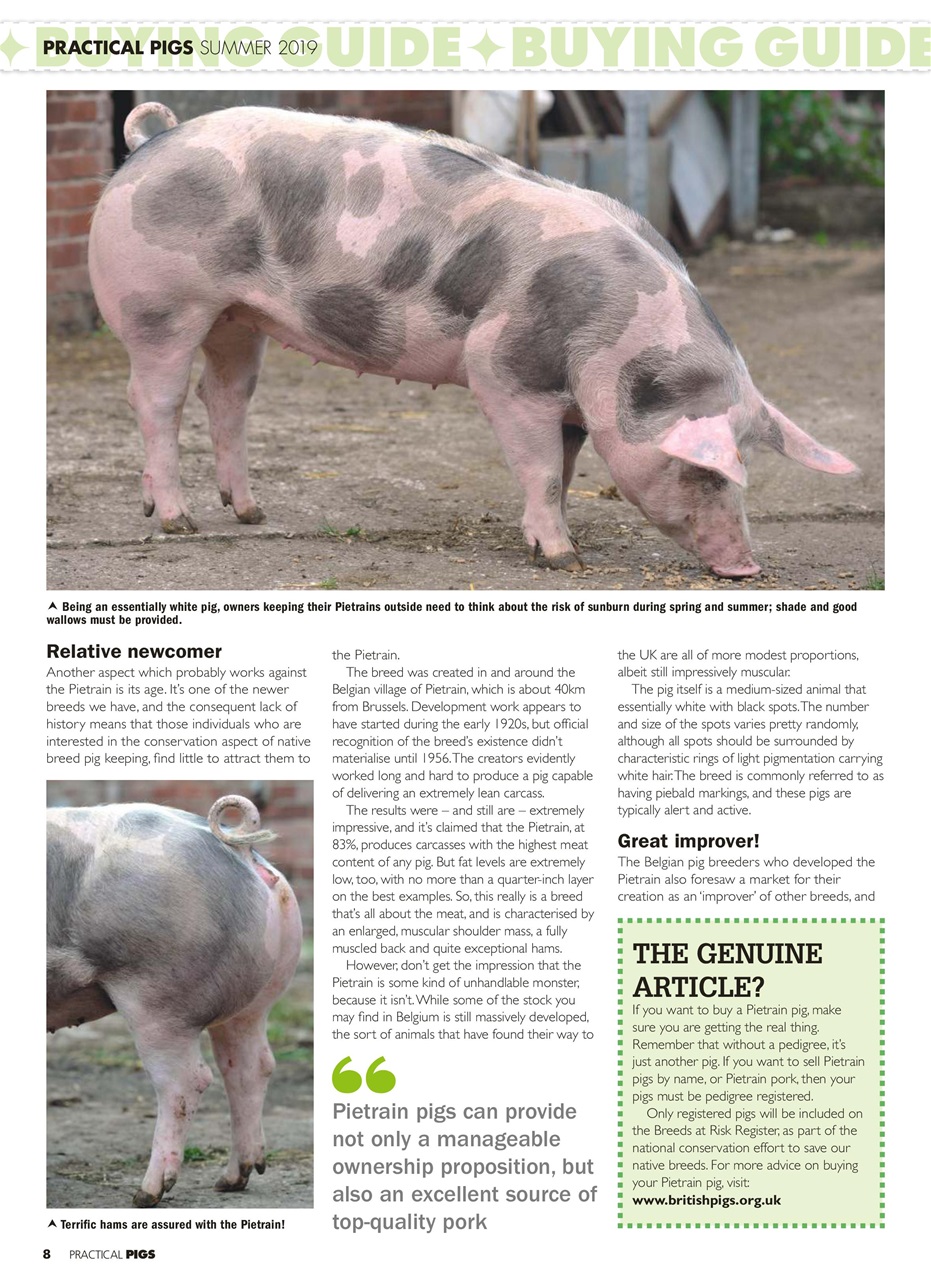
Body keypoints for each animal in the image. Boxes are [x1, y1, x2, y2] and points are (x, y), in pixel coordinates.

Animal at [47, 795, 304, 1207]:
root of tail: (240, 847)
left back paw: (146, 1194)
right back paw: (231, 1180)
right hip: (255, 1001)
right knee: (251, 1067)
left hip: (156, 997)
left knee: (186, 1080)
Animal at [88, 102, 857, 577]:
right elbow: (540, 468)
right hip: (160, 304)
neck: (615, 351)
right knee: (155, 401)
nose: (745, 566)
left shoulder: (570, 405)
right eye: (702, 470)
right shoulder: (502, 367)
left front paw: (551, 538)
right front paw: (563, 560)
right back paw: (177, 521)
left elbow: (563, 471)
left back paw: (250, 512)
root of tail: (152, 142)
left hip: (237, 319)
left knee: (226, 397)